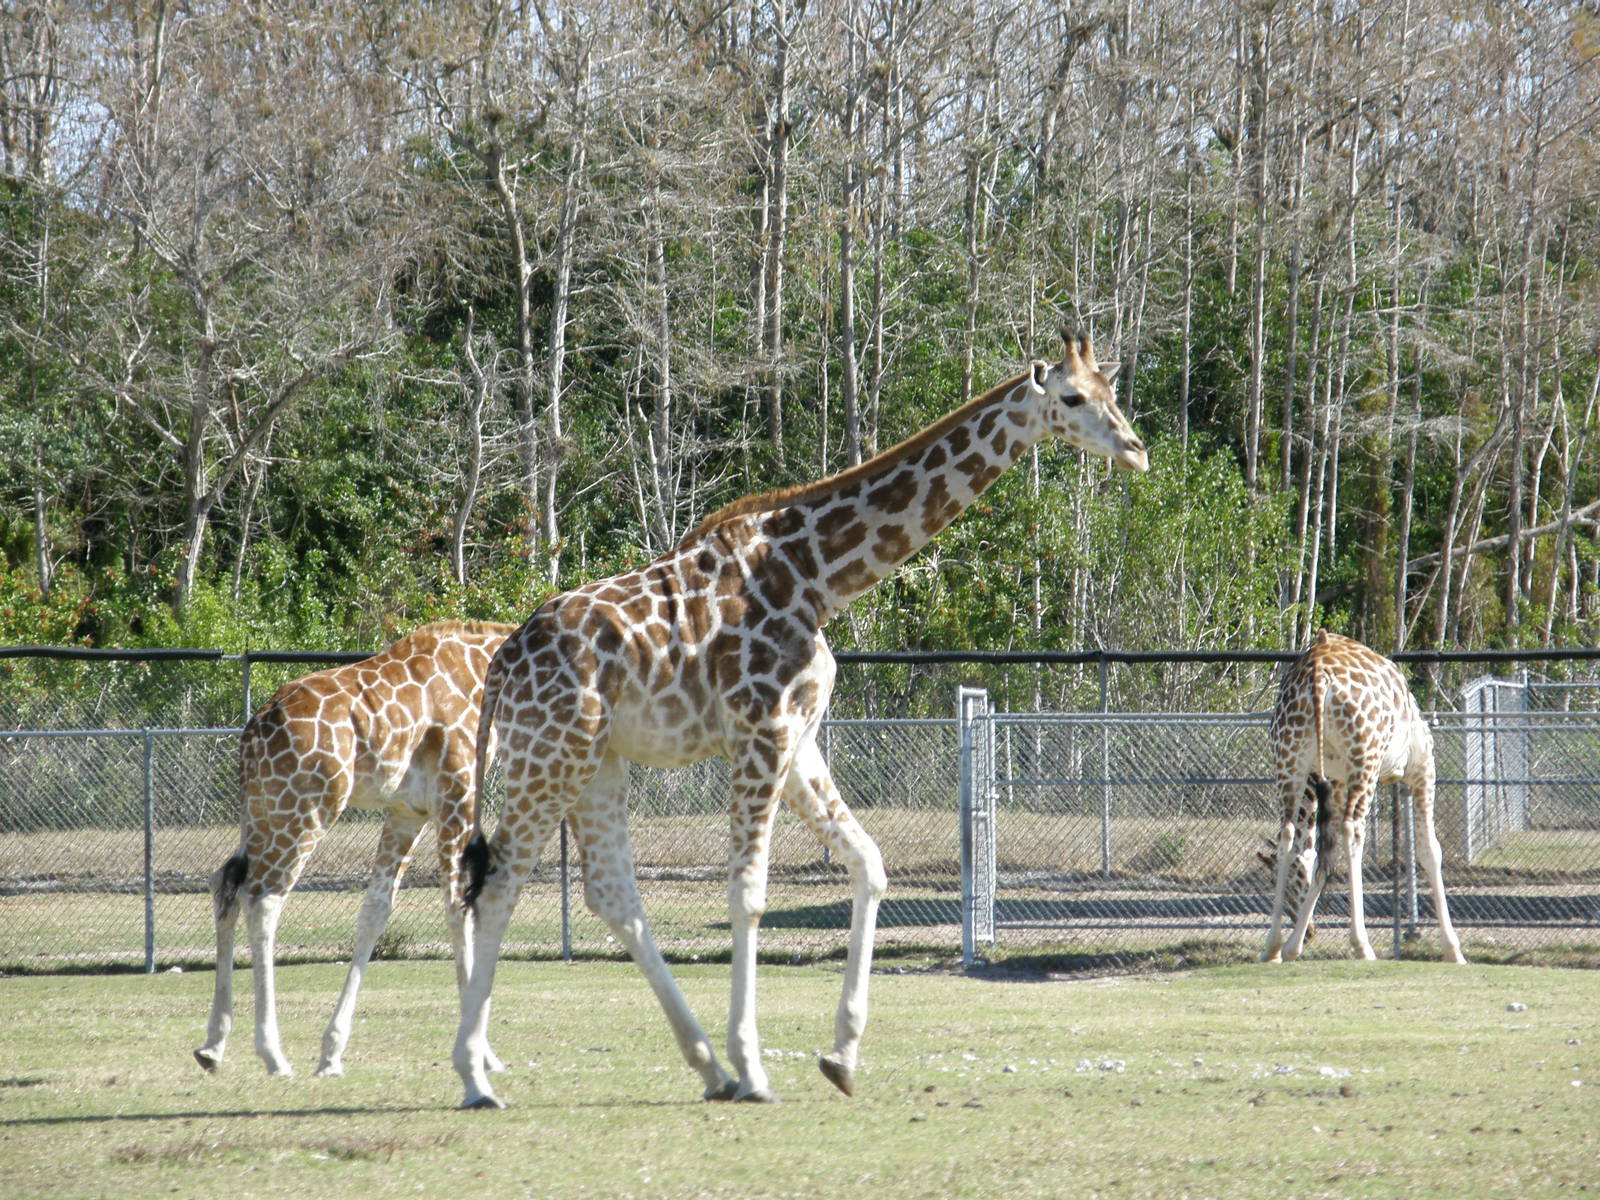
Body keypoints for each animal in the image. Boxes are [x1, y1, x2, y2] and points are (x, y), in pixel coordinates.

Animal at [194, 619, 517, 1078]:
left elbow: (375, 911)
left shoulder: (407, 809)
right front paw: (485, 1053)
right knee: (263, 899)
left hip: (263, 808)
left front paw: (331, 1052)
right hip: (308, 807)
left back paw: (213, 1045)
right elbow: (460, 908)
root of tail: (253, 733)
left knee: (226, 882)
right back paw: (273, 1054)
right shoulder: (456, 790)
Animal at [450, 328, 1147, 1109]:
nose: (1134, 448)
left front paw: (840, 1054)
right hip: (551, 753)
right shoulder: (760, 729)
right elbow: (749, 892)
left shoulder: (800, 736)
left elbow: (869, 864)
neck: (817, 575)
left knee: (610, 893)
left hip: (597, 760)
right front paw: (757, 1067)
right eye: (1073, 397)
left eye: (1112, 390)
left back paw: (706, 1069)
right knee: (499, 883)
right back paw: (477, 1075)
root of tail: (504, 662)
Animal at [1260, 629, 1466, 965]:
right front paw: (1453, 950)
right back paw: (1362, 945)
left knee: (1289, 834)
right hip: (1365, 759)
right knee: (1352, 829)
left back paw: (1272, 946)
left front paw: (1292, 947)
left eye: (1297, 881)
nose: (1311, 932)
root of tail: (1318, 676)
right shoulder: (1422, 767)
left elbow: (1324, 857)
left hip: (1288, 759)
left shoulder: (1334, 779)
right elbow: (1430, 851)